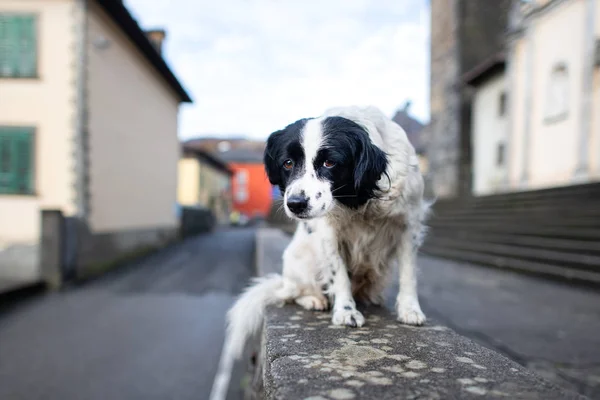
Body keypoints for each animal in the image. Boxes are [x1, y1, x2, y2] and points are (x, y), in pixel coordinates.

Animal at [226, 105, 432, 360]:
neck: (361, 198)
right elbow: (338, 273)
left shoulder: (409, 223)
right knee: (294, 292)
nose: (295, 204)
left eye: (329, 163)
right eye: (287, 163)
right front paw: (345, 311)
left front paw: (409, 308)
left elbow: (408, 273)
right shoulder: (328, 233)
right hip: (299, 261)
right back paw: (314, 299)